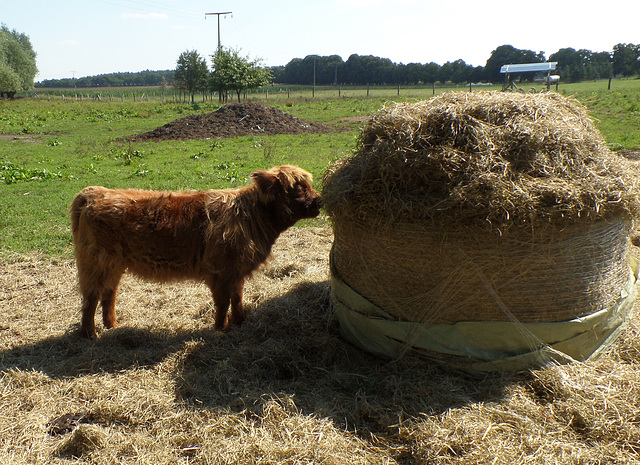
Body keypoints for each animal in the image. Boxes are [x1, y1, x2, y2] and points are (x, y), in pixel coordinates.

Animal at [70, 164, 322, 338]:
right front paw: (221, 329)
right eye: (298, 188)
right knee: (91, 296)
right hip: (96, 262)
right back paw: (90, 334)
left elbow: (237, 298)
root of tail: (94, 192)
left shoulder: (236, 271)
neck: (252, 216)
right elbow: (223, 302)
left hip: (115, 263)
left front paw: (240, 322)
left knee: (109, 292)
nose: (319, 200)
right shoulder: (221, 271)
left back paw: (112, 325)